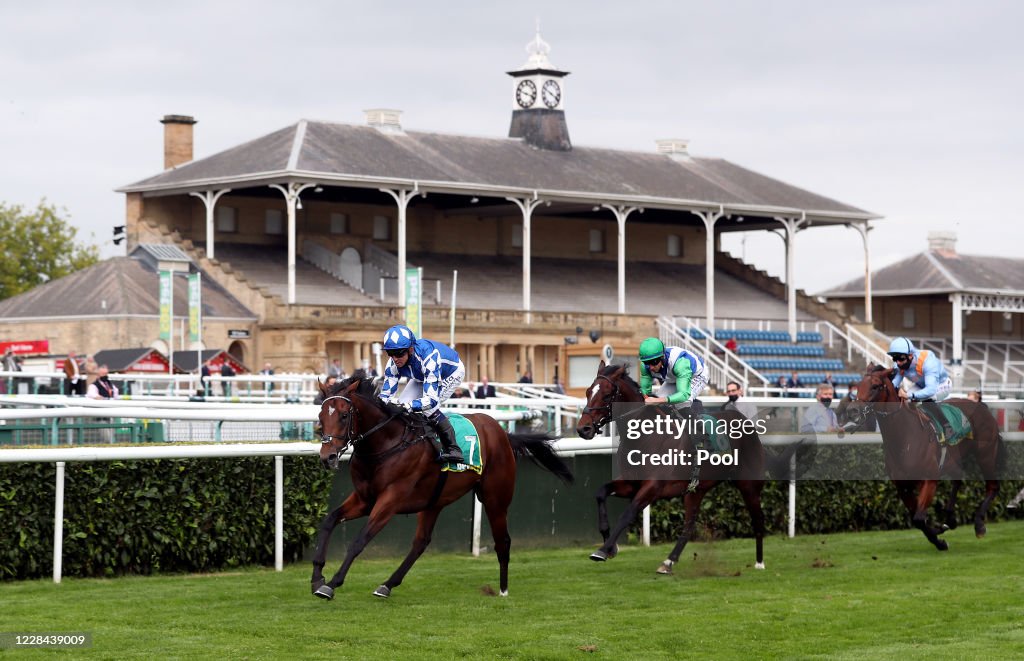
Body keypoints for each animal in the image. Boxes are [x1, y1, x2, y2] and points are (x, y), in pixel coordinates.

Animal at [311, 378, 573, 601]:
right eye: (321, 415)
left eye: (344, 415)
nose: (327, 457)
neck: (386, 443)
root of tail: (503, 433)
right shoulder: (365, 498)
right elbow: (329, 521)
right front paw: (317, 577)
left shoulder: (390, 500)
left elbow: (359, 540)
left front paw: (331, 584)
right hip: (434, 501)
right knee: (421, 542)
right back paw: (387, 584)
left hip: (495, 499)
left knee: (503, 541)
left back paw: (503, 590)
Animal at [577, 362, 790, 573]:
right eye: (588, 392)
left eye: (606, 395)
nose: (583, 429)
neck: (646, 436)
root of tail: (747, 422)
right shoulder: (632, 483)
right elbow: (600, 493)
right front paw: (610, 545)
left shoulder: (653, 487)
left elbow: (628, 514)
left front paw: (603, 550)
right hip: (695, 490)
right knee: (689, 526)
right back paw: (668, 562)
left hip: (749, 484)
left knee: (758, 519)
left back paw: (759, 562)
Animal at [843, 364, 1003, 552]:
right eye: (858, 386)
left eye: (875, 386)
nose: (852, 411)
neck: (905, 438)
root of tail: (982, 405)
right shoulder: (902, 486)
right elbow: (917, 518)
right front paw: (939, 533)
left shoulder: (929, 479)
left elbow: (919, 518)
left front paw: (939, 540)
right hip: (954, 460)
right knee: (958, 479)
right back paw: (950, 520)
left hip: (986, 454)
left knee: (992, 487)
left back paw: (979, 525)